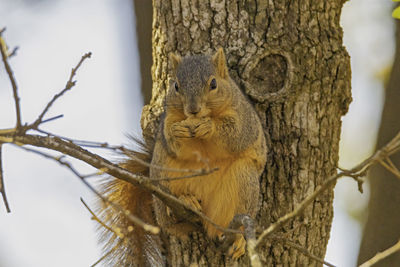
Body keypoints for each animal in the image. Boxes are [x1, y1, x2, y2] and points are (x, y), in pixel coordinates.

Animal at [97, 48, 266, 267]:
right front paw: (178, 131)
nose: (193, 110)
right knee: (170, 220)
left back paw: (237, 239)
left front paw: (209, 127)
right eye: (176, 86)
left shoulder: (243, 118)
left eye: (213, 84)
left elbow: (235, 135)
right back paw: (185, 201)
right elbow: (172, 139)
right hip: (162, 174)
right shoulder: (169, 118)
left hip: (244, 179)